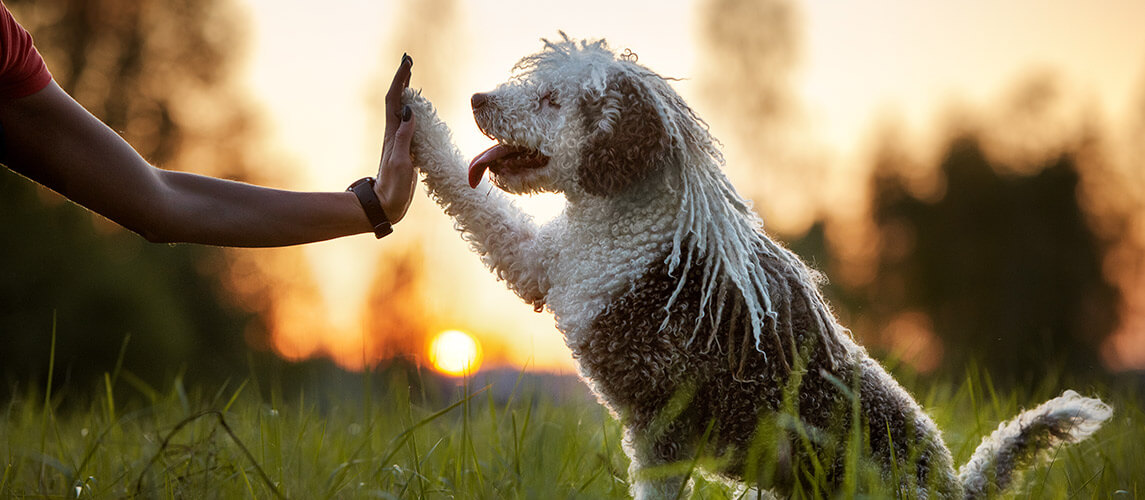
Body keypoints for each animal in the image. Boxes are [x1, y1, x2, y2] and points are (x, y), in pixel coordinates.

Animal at [400, 33, 1108, 496]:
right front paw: (416, 118)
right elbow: (474, 201)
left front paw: (411, 114)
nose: (478, 98)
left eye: (549, 99)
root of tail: (956, 486)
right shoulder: (544, 261)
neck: (630, 219)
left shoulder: (660, 427)